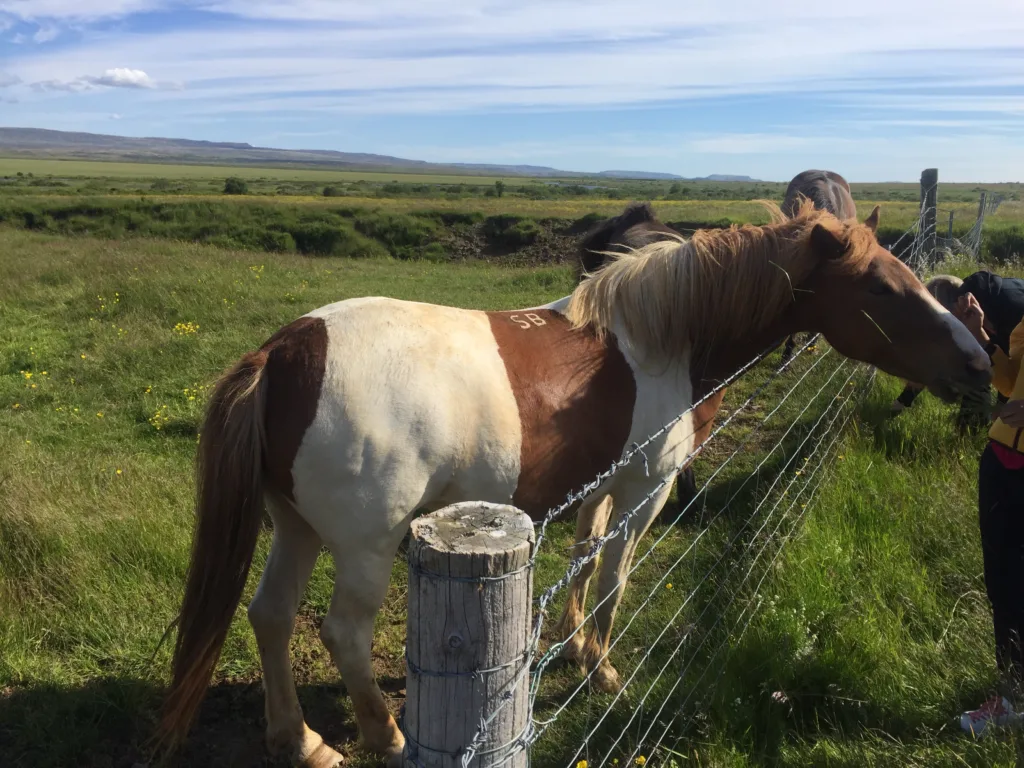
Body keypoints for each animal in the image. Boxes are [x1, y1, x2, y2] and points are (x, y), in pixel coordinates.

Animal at [159, 202, 991, 768]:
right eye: (881, 288)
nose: (979, 362)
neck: (664, 340)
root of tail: (283, 351)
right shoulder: (647, 489)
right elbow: (619, 577)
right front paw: (603, 669)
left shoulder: (598, 488)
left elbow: (586, 564)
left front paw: (570, 645)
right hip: (366, 544)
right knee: (342, 634)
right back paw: (385, 733)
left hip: (295, 528)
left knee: (269, 618)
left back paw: (300, 739)